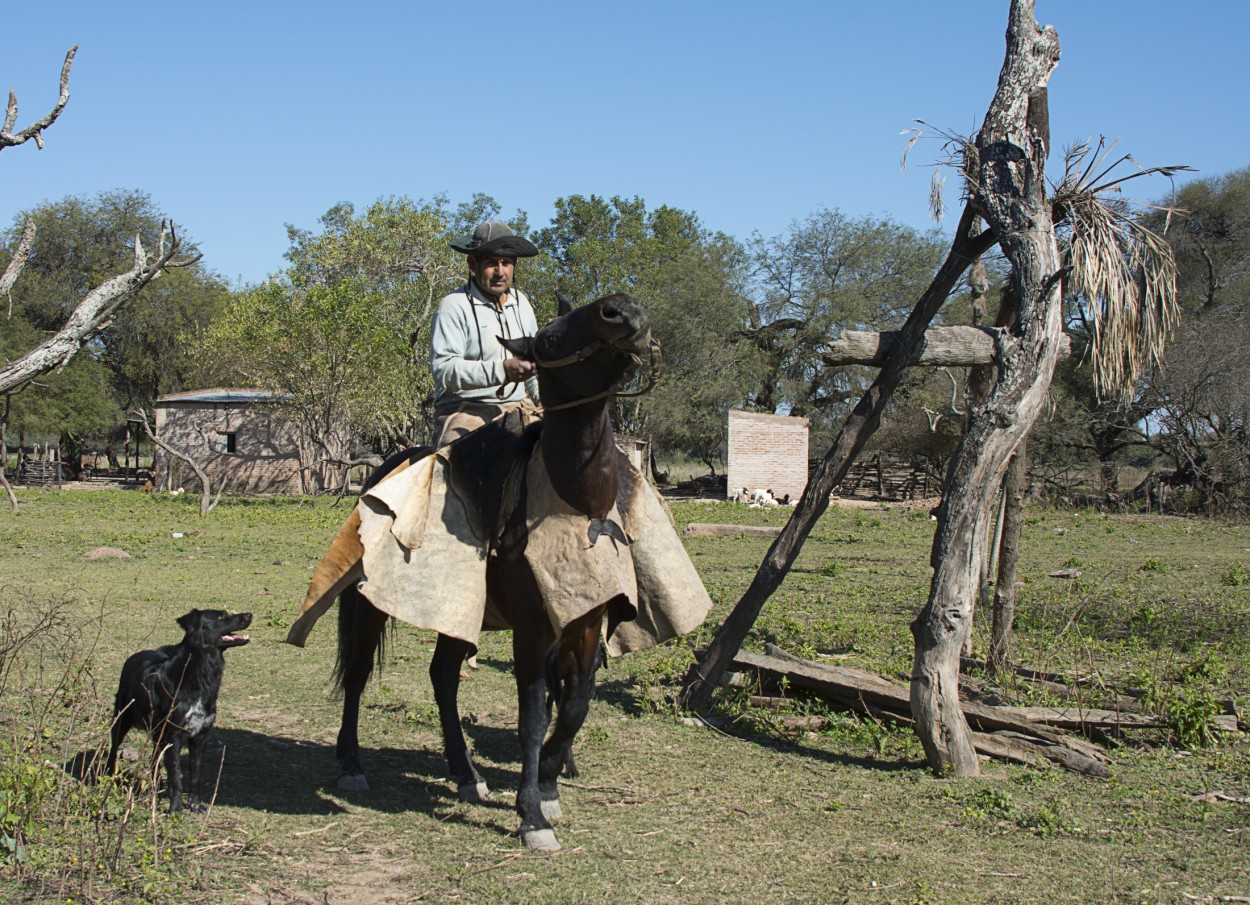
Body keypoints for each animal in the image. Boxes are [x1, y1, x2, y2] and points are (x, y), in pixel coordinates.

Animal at [108, 607, 252, 815]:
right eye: (220, 616)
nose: (249, 615)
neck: (198, 675)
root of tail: (134, 656)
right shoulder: (174, 737)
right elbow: (176, 776)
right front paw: (176, 808)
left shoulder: (200, 737)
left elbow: (195, 775)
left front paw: (195, 805)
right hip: (122, 720)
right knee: (113, 751)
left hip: (157, 733)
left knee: (154, 759)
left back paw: (155, 788)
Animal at [327, 290, 650, 850]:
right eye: (547, 339)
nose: (623, 310)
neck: (575, 503)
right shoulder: (532, 628)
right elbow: (534, 715)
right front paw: (532, 816)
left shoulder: (585, 622)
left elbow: (575, 705)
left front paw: (549, 785)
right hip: (370, 608)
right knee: (361, 672)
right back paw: (351, 765)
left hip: (458, 611)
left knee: (443, 676)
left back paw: (464, 773)